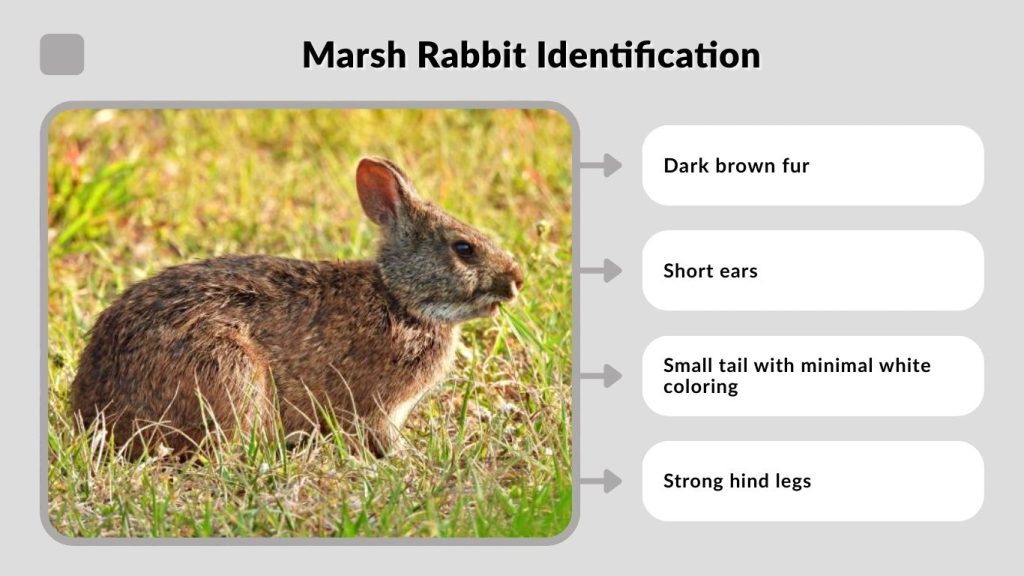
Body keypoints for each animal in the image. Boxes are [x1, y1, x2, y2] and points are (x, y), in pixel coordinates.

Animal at [69, 157, 524, 458]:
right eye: (463, 248)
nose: (516, 279)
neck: (399, 299)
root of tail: (93, 411)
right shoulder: (377, 407)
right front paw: (406, 459)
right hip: (229, 369)